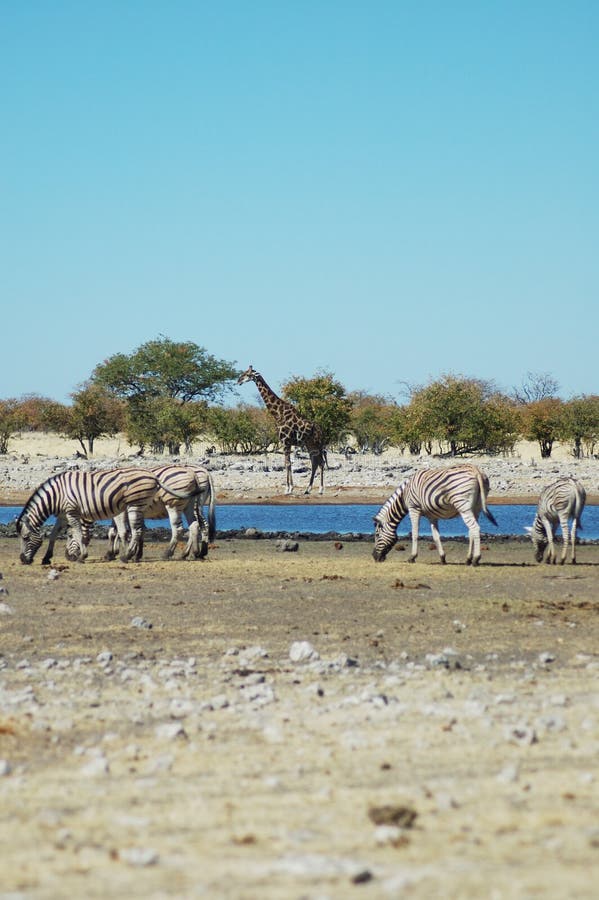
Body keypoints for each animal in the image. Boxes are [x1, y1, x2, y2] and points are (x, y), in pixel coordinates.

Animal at [14, 472, 199, 564]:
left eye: (25, 538)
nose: (22, 560)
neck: (56, 495)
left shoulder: (72, 511)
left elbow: (82, 533)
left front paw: (83, 556)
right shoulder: (63, 514)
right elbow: (53, 534)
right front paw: (47, 557)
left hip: (152, 504)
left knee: (152, 529)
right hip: (181, 504)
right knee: (194, 525)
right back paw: (192, 553)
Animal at [237, 364, 328, 496]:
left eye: (248, 374)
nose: (238, 380)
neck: (278, 414)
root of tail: (321, 431)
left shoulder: (285, 441)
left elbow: (287, 464)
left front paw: (288, 489)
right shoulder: (286, 443)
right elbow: (288, 463)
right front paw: (290, 488)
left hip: (317, 444)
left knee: (320, 462)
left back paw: (320, 489)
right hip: (310, 444)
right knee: (315, 462)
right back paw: (308, 489)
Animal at [372, 468, 500, 568]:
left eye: (377, 535)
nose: (374, 557)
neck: (404, 496)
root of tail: (476, 470)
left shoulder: (414, 509)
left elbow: (415, 533)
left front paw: (412, 557)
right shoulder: (432, 515)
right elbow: (436, 536)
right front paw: (442, 558)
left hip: (462, 504)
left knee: (475, 528)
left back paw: (476, 559)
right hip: (476, 508)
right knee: (471, 531)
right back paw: (468, 559)